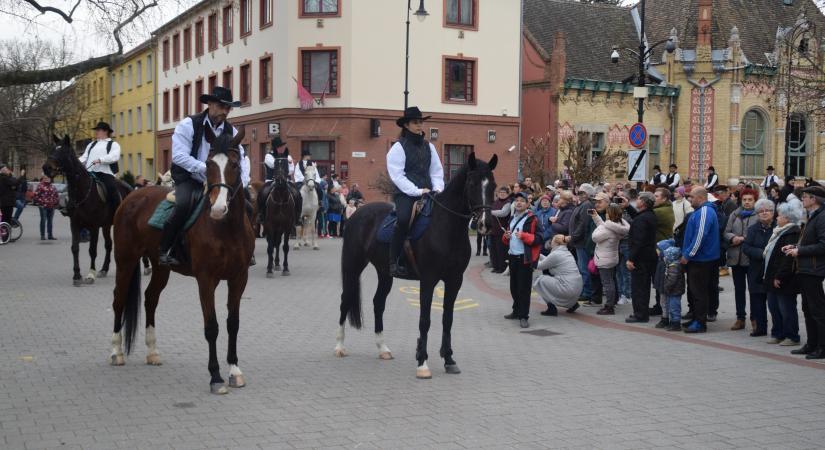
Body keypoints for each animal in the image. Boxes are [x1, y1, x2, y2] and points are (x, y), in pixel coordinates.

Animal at [43, 135, 133, 286]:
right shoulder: (75, 224)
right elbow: (75, 248)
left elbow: (92, 250)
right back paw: (104, 269)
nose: (46, 168)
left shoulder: (93, 226)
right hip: (107, 225)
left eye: (63, 152)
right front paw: (77, 275)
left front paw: (91, 274)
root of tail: (132, 188)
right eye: (52, 149)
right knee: (109, 245)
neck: (83, 191)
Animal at [111, 126, 254, 394]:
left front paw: (234, 370)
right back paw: (116, 351)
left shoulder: (239, 278)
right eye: (208, 164)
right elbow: (212, 327)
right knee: (119, 301)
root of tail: (132, 196)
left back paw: (152, 352)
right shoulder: (206, 280)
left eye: (235, 164)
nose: (218, 209)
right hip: (125, 261)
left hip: (160, 267)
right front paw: (215, 376)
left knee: (150, 299)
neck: (226, 228)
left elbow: (233, 323)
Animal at [334, 153, 496, 378]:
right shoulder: (428, 280)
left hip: (385, 273)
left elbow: (447, 318)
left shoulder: (455, 281)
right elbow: (425, 320)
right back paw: (339, 346)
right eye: (472, 184)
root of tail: (357, 213)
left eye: (493, 186)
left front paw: (449, 359)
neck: (446, 228)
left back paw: (383, 348)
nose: (485, 224)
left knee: (378, 303)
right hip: (352, 266)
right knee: (345, 300)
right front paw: (422, 363)